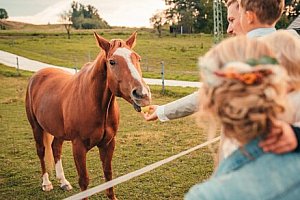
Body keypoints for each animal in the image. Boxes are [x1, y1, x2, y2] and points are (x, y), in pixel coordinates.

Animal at [24, 32, 151, 199]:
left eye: (138, 58)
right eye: (112, 62)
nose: (142, 94)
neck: (95, 104)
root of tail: (37, 75)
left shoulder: (108, 143)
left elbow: (108, 175)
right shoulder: (78, 147)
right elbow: (84, 180)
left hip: (58, 132)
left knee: (55, 148)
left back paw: (63, 182)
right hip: (36, 127)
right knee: (41, 151)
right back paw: (46, 183)